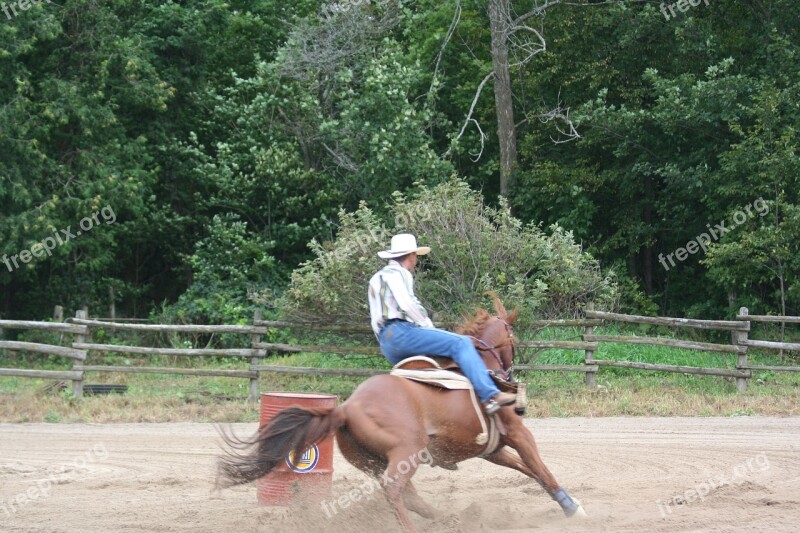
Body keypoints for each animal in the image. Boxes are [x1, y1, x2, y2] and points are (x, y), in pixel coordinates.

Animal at [216, 294, 584, 528]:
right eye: (513, 338)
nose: (508, 373)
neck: (481, 367)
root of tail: (346, 408)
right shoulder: (518, 433)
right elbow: (541, 467)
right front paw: (573, 507)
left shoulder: (491, 449)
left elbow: (528, 469)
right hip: (407, 450)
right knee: (395, 490)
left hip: (374, 461)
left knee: (408, 495)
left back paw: (447, 519)